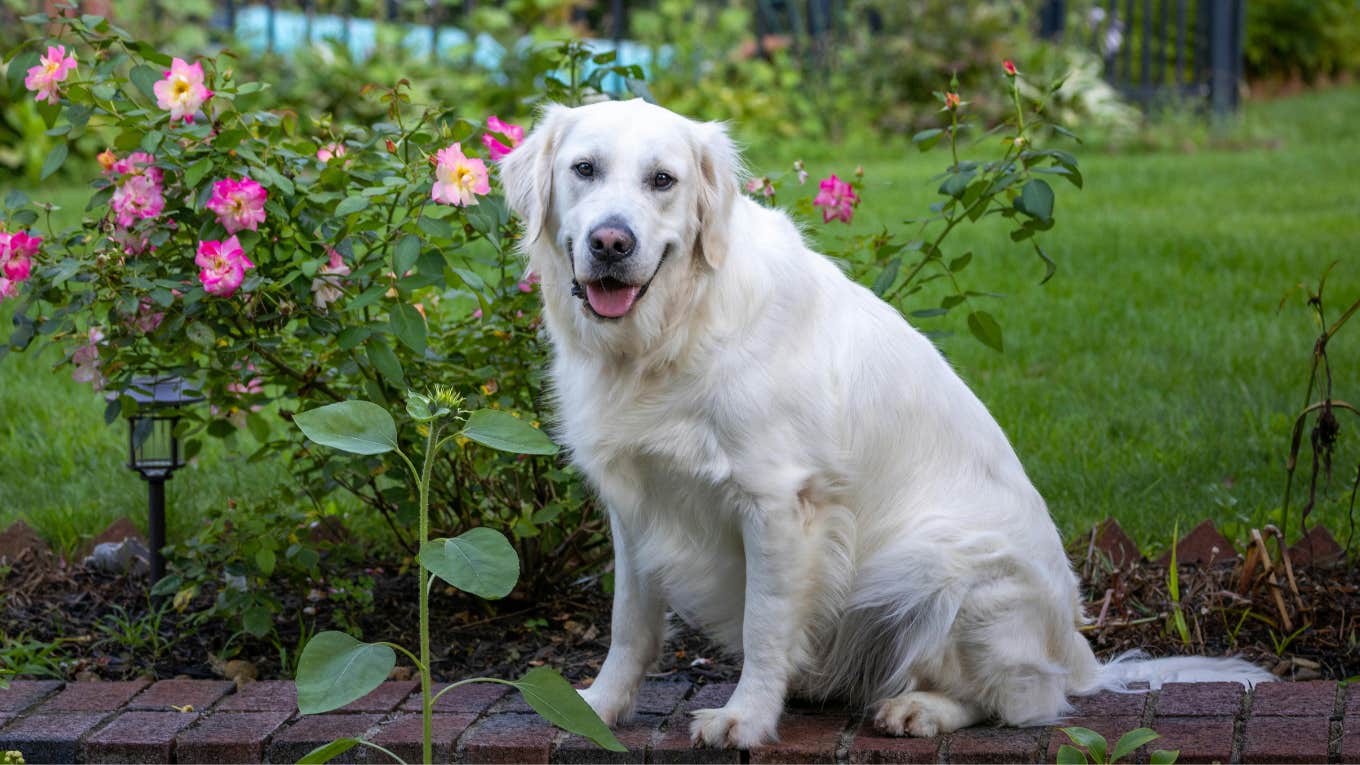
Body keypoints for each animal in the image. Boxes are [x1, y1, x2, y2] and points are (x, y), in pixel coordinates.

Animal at [503, 100, 1272, 745]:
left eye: (662, 180)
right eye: (584, 169)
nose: (610, 242)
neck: (668, 335)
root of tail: (1081, 651)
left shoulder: (778, 502)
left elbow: (764, 622)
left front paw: (746, 718)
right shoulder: (635, 503)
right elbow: (629, 625)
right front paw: (596, 707)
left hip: (942, 561)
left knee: (1024, 700)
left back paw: (920, 708)